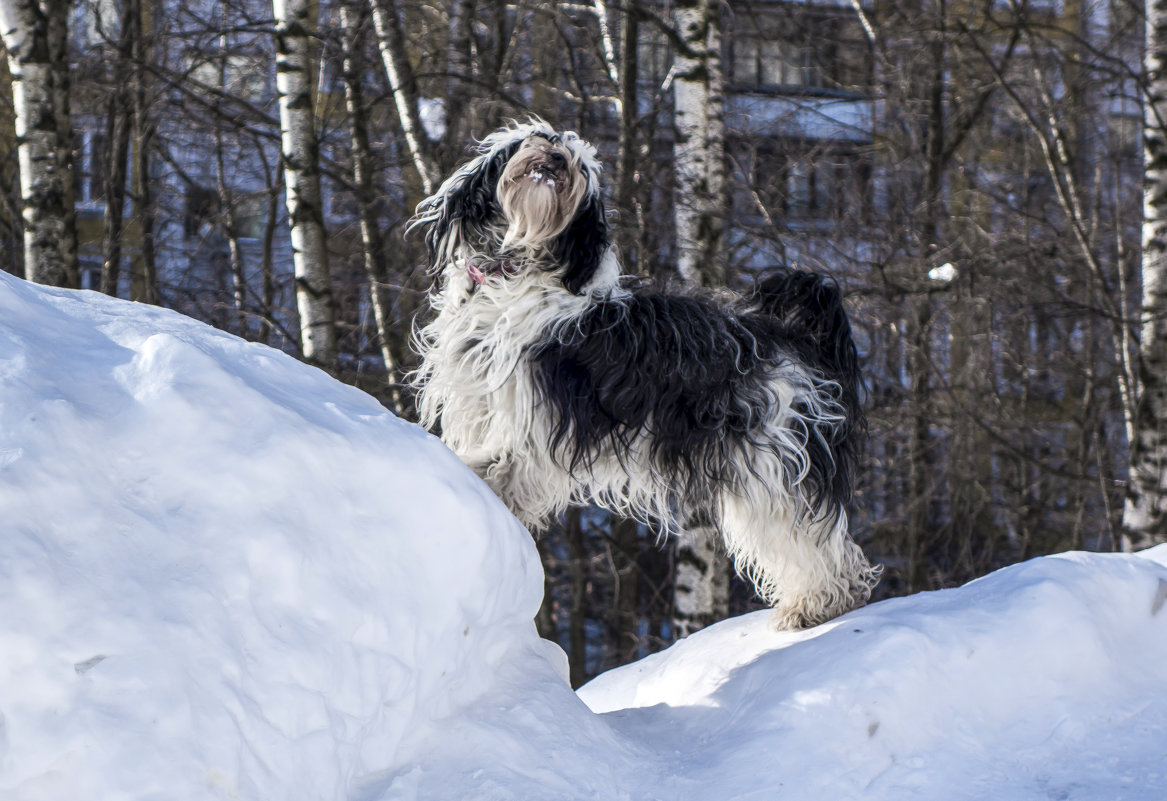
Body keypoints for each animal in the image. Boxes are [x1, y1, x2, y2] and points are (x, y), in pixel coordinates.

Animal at [410, 120, 877, 635]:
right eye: (537, 137)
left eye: (580, 164)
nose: (555, 154)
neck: (512, 274)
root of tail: (795, 336)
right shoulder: (483, 412)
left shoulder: (529, 428)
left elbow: (495, 468)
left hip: (776, 469)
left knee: (815, 541)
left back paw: (817, 605)